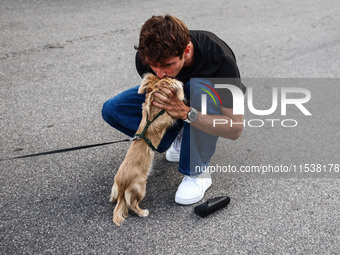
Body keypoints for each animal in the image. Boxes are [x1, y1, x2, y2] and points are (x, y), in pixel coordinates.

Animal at [110, 72, 185, 226]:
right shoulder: (170, 116)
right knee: (132, 204)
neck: (154, 112)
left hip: (114, 189)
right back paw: (142, 212)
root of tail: (121, 187)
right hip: (140, 188)